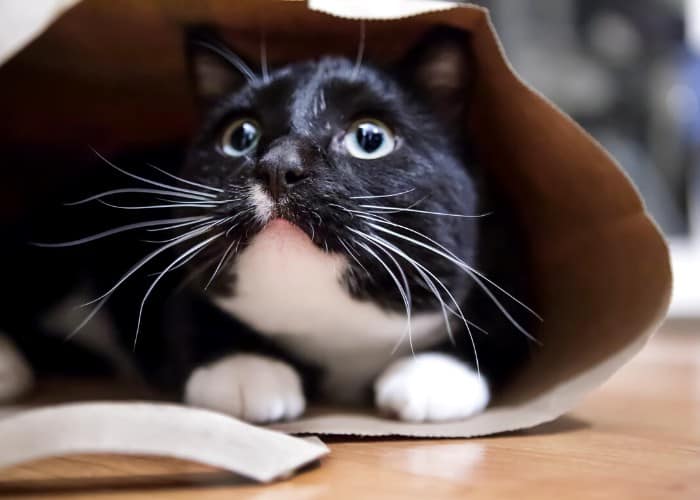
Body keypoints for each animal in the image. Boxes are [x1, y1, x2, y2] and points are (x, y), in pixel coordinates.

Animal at [0, 26, 536, 422]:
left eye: (370, 137)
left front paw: (434, 376)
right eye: (240, 136)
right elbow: (189, 312)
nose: (279, 165)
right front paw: (244, 371)